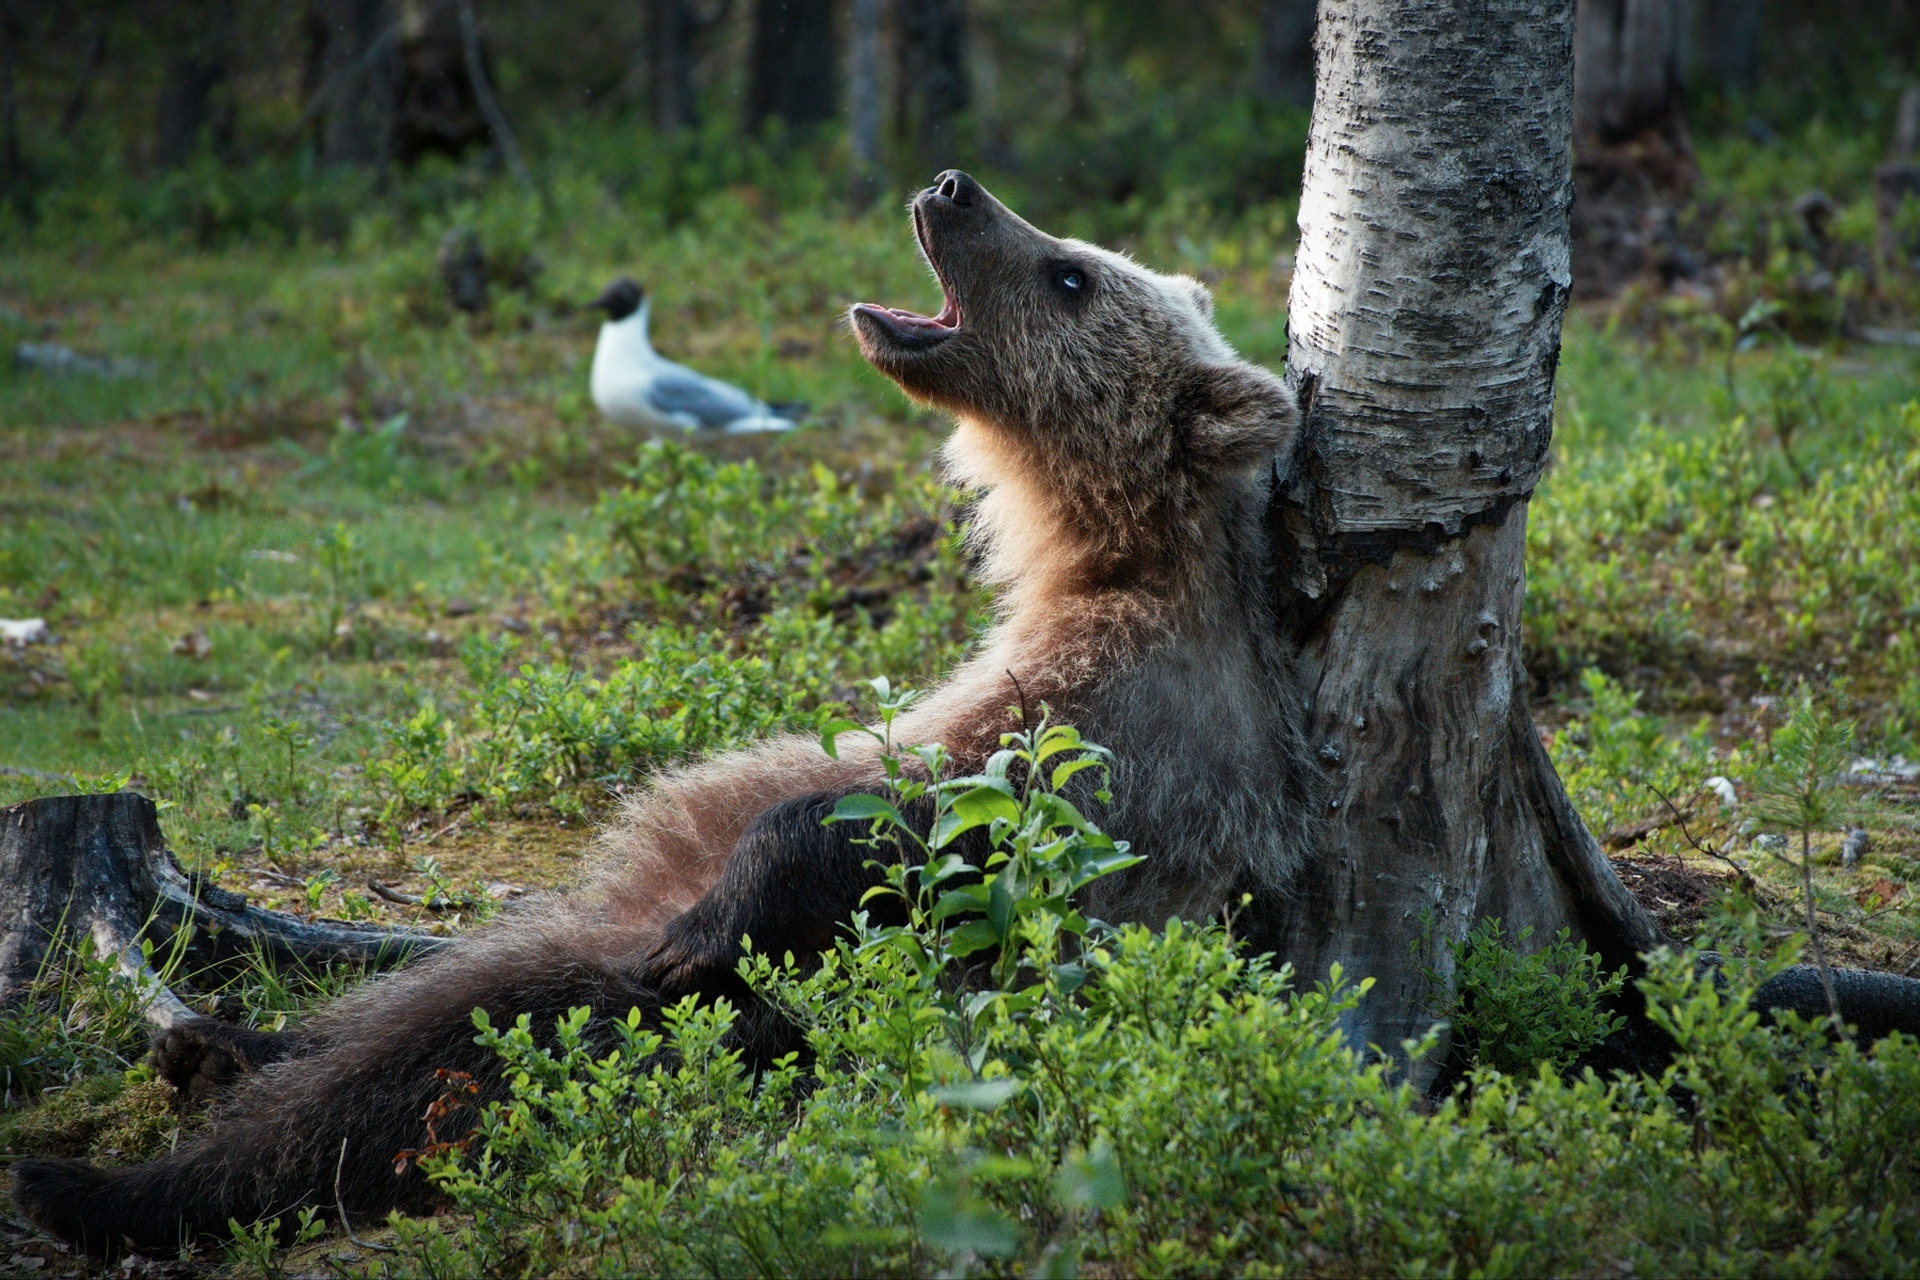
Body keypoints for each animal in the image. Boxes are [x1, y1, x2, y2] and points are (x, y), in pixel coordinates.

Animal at [11, 172, 1305, 1258]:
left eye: (1073, 273)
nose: (953, 185)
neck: (1089, 554)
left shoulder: (1119, 733)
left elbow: (936, 828)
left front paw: (733, 898)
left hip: (717, 1017)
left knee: (456, 1047)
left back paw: (104, 1181)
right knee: (431, 991)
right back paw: (216, 1045)